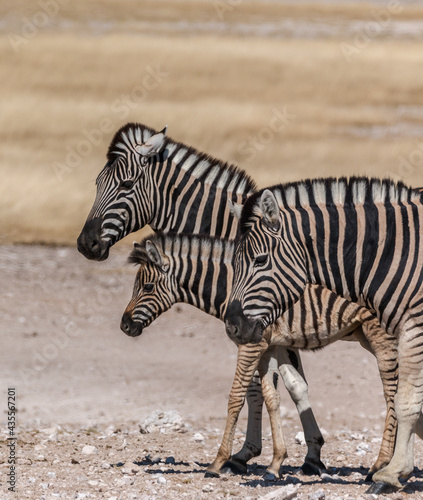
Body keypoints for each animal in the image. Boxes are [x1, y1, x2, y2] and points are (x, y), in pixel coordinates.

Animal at [121, 234, 404, 480]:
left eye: (147, 287)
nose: (124, 326)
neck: (232, 289)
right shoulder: (269, 345)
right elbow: (273, 396)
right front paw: (276, 462)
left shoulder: (253, 345)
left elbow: (237, 396)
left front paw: (219, 461)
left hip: (379, 336)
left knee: (392, 393)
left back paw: (381, 464)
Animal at [227, 179, 423, 492]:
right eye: (233, 263)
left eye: (260, 260)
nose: (233, 327)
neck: (392, 253)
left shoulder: (413, 326)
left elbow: (406, 400)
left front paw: (391, 474)